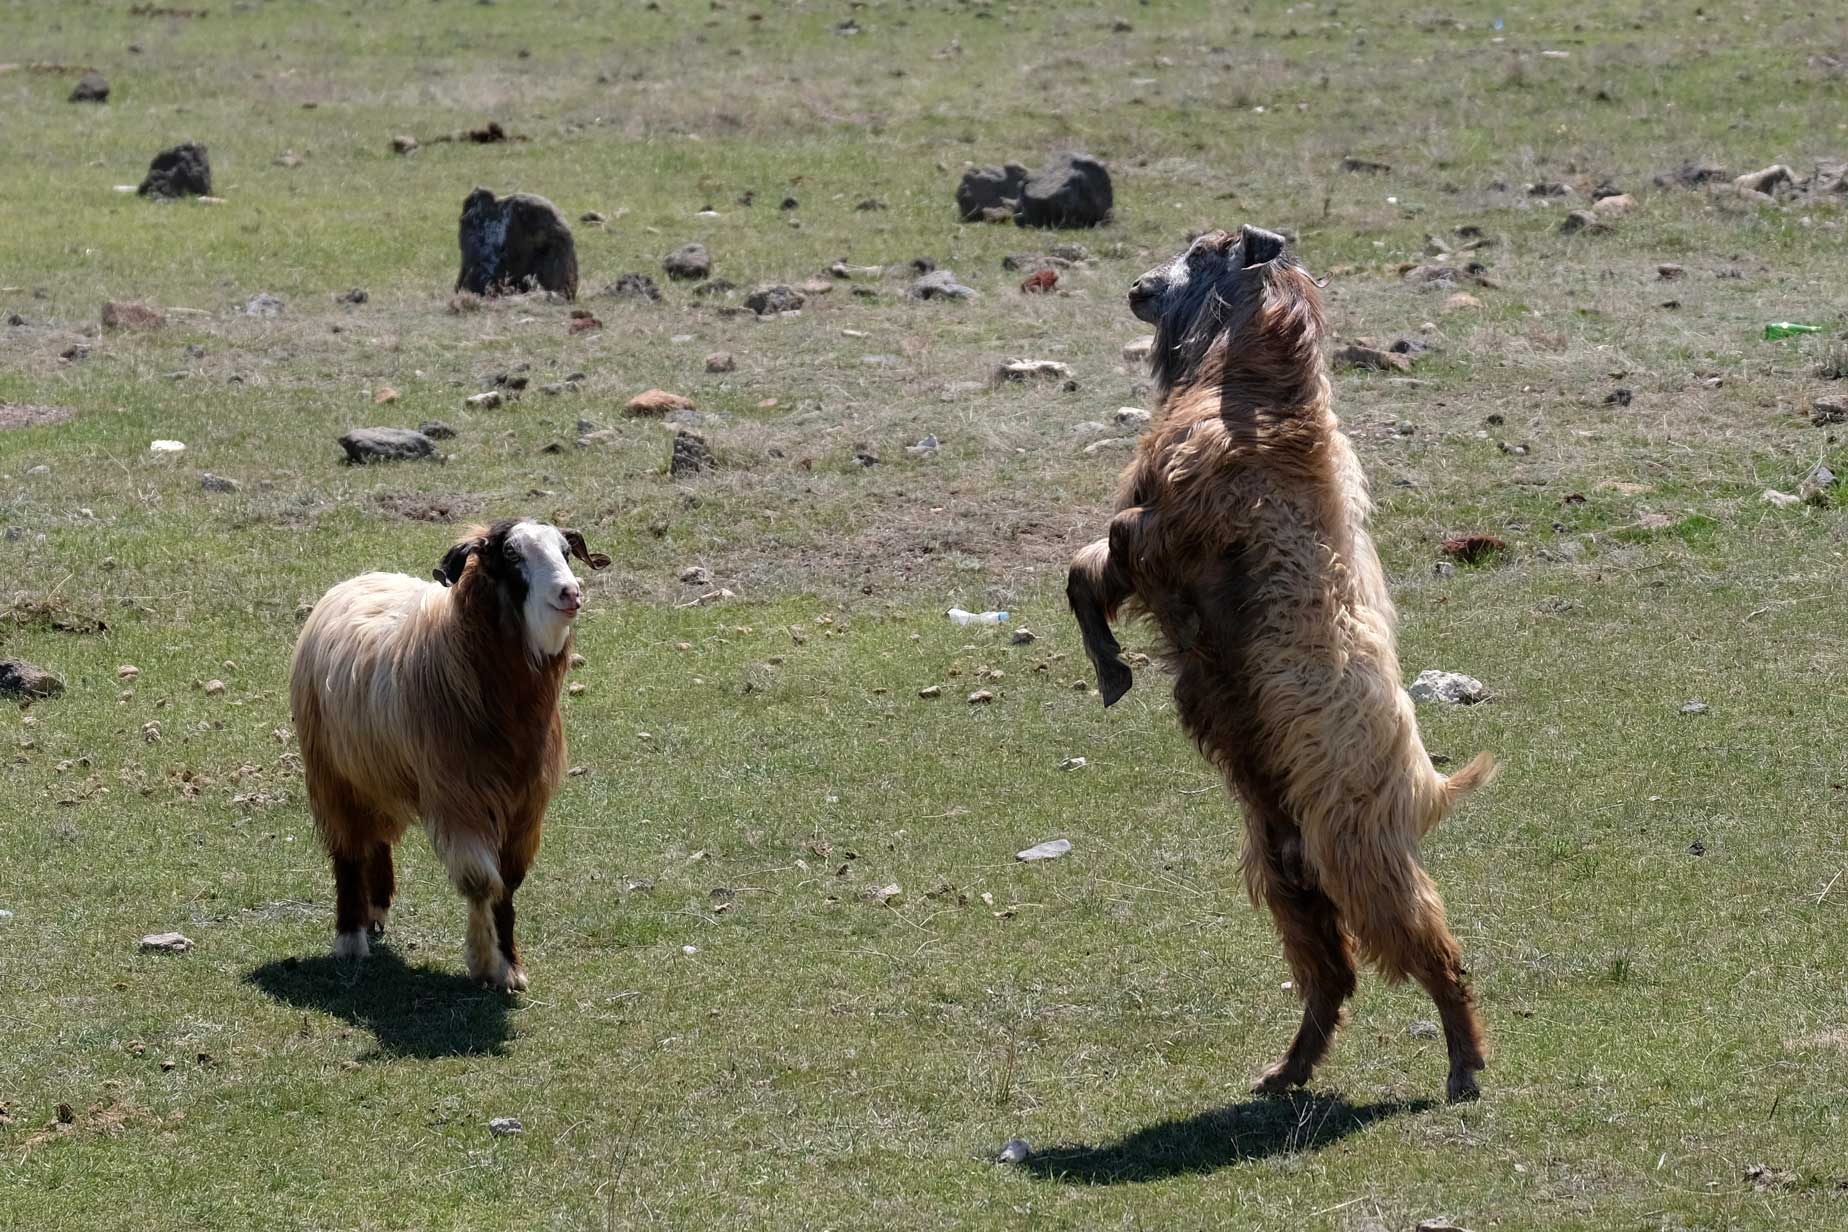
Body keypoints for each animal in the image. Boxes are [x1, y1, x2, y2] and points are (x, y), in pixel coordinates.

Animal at [284, 517, 609, 990]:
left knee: (377, 836)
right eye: (510, 554)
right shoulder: (460, 798)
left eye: (566, 552)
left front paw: (511, 965)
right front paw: (483, 960)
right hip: (331, 773)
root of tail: (360, 578)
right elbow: (480, 883)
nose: (570, 593)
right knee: (347, 850)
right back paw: (351, 936)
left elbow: (508, 887)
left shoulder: (525, 804)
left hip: (377, 769)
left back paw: (377, 906)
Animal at [1071, 226, 1500, 1100]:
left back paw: (1464, 1067)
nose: (1139, 289)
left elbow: (1110, 546)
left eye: (1207, 252)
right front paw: (1111, 673)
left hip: (1358, 850)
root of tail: (1427, 788)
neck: (1264, 387)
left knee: (1432, 953)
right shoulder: (1147, 537)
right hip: (1287, 870)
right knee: (1332, 977)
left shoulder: (1171, 526)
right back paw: (1284, 1071)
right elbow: (1084, 568)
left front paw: (1115, 668)